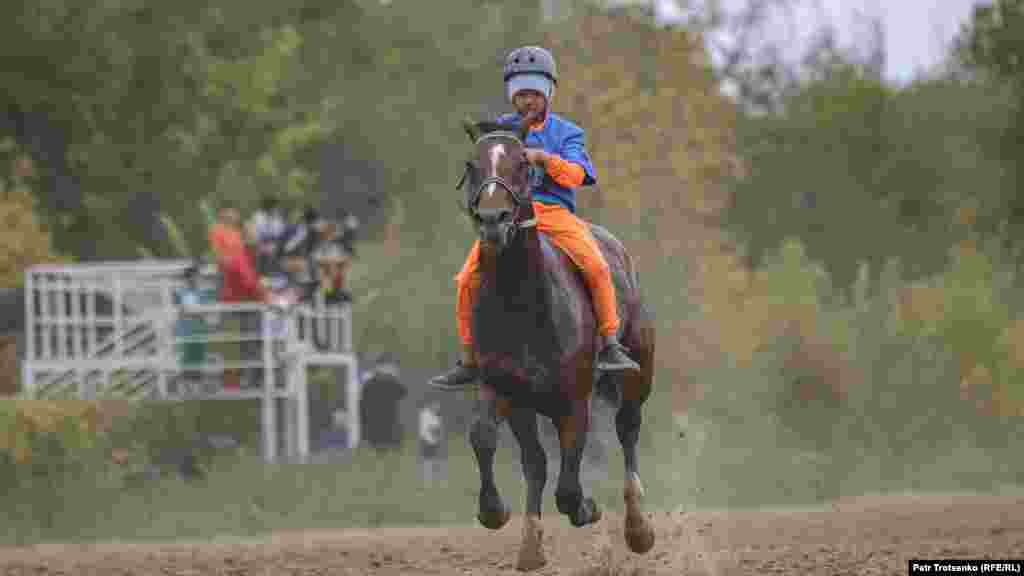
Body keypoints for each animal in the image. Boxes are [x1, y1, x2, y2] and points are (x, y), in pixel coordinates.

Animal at [456, 117, 655, 569]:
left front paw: (587, 507)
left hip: (639, 372)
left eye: (522, 163)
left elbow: (568, 487)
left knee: (628, 427)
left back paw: (638, 528)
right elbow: (489, 440)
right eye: (473, 165)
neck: (522, 302)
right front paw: (498, 513)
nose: (493, 220)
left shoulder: (574, 399)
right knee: (537, 462)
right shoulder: (507, 390)